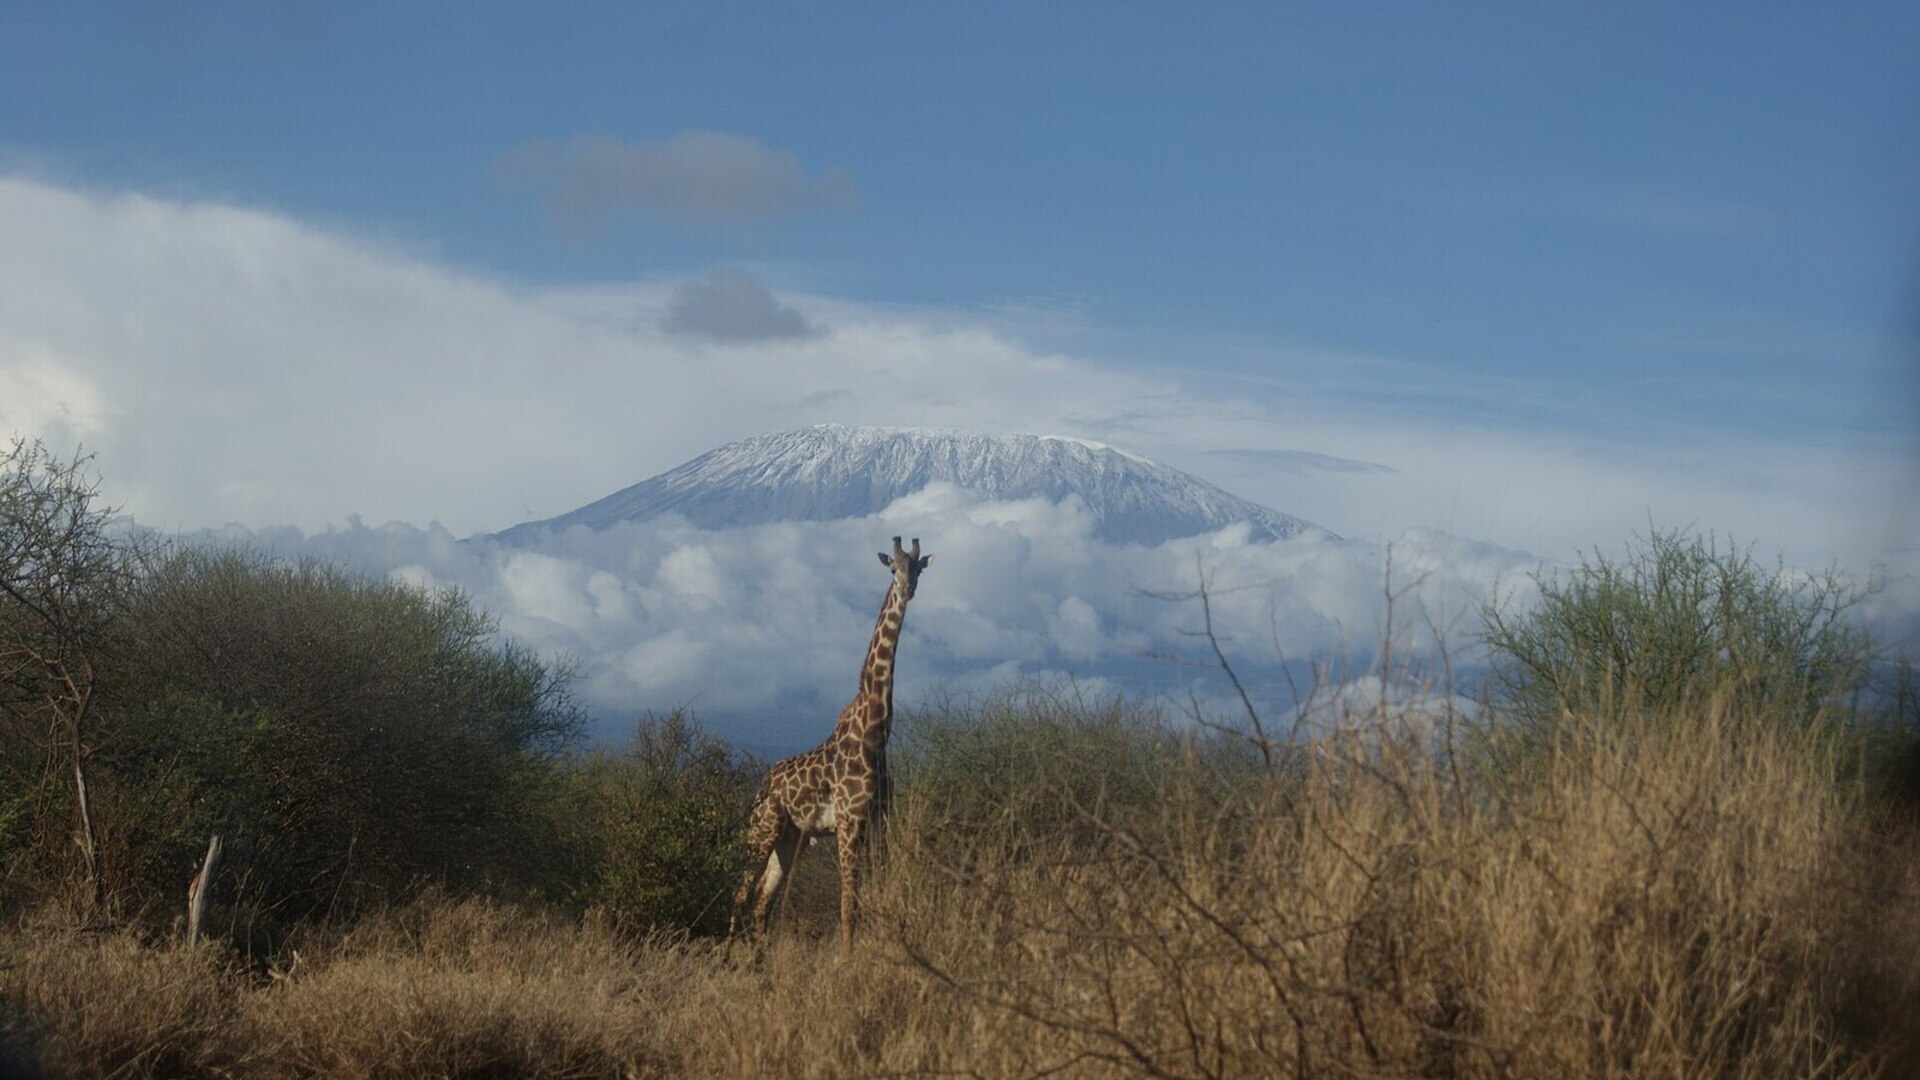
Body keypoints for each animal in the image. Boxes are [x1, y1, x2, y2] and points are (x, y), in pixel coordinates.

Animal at [731, 535, 932, 951]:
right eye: (893, 568)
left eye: (918, 569)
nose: (906, 589)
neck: (875, 731)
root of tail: (761, 787)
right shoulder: (848, 821)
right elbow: (847, 901)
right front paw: (848, 957)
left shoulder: (879, 821)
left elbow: (874, 891)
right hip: (763, 828)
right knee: (741, 893)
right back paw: (726, 957)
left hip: (790, 837)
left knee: (762, 899)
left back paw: (758, 961)